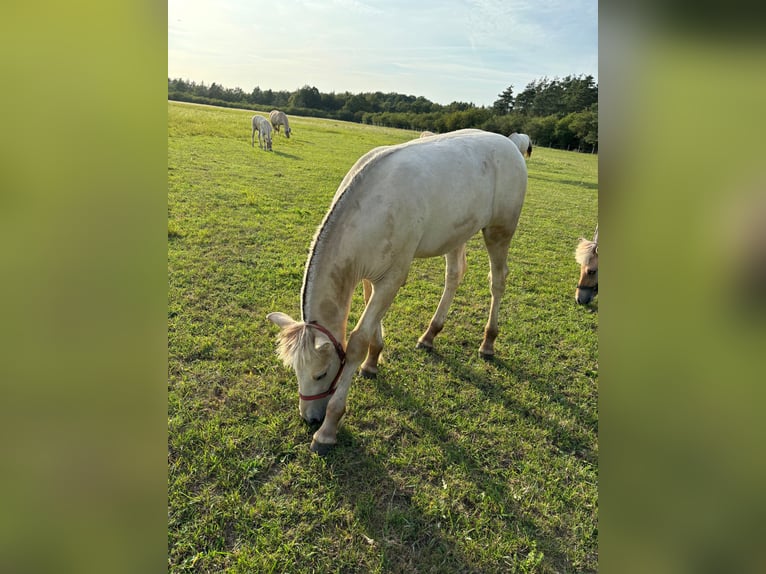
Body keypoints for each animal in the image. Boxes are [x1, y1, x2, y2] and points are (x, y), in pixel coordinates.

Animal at [267, 129, 528, 454]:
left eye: (321, 374)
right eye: (295, 372)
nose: (310, 418)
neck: (370, 210)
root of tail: (510, 143)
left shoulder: (393, 277)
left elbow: (357, 341)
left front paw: (328, 429)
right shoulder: (369, 275)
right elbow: (370, 324)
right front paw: (372, 362)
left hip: (499, 231)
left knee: (498, 280)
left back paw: (488, 341)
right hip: (457, 233)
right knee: (454, 275)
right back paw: (430, 334)